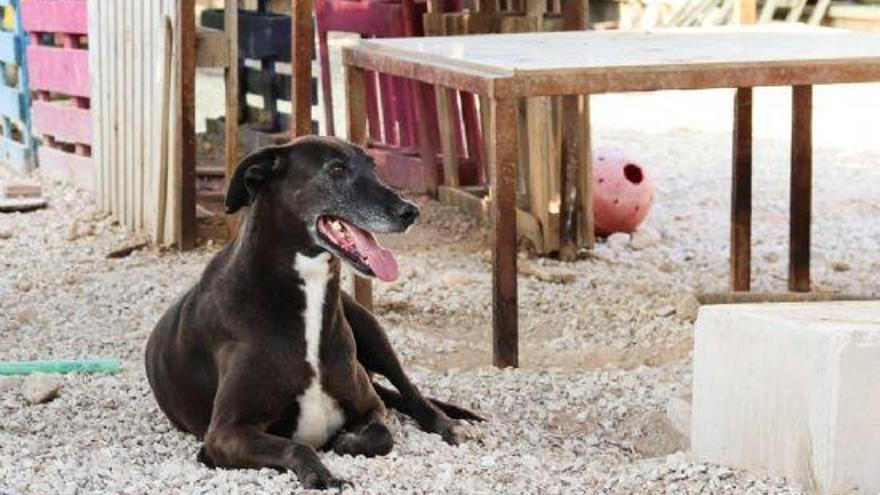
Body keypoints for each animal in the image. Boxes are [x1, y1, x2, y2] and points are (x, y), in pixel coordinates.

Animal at [144, 138, 482, 490]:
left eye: (372, 166)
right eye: (336, 170)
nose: (410, 211)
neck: (306, 294)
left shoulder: (370, 406)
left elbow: (381, 435)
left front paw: (347, 442)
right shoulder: (224, 433)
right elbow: (297, 446)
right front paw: (322, 474)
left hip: (370, 330)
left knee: (409, 390)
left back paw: (449, 424)